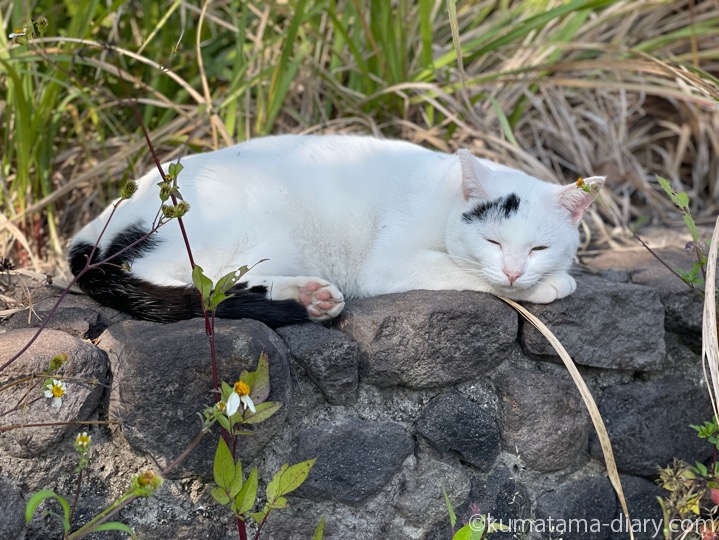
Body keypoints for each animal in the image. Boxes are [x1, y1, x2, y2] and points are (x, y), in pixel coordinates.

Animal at [69, 137, 608, 326]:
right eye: (493, 241)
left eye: (538, 247)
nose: (517, 271)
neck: (443, 197)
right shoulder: (391, 263)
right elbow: (470, 275)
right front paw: (546, 286)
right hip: (248, 218)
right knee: (197, 285)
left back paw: (309, 297)